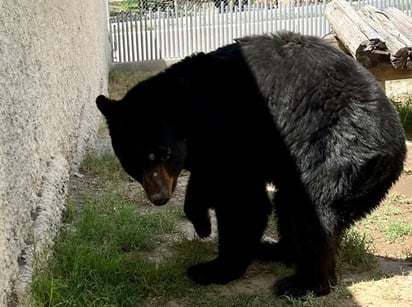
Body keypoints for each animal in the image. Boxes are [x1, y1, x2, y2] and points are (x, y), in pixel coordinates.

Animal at [96, 31, 406, 298]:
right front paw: (201, 222)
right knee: (289, 205)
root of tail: (396, 147)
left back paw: (302, 284)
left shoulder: (233, 131)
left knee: (312, 214)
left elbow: (241, 201)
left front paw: (213, 268)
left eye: (165, 154)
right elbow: (208, 181)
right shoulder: (215, 148)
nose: (158, 197)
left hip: (334, 155)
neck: (189, 109)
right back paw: (275, 250)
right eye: (133, 161)